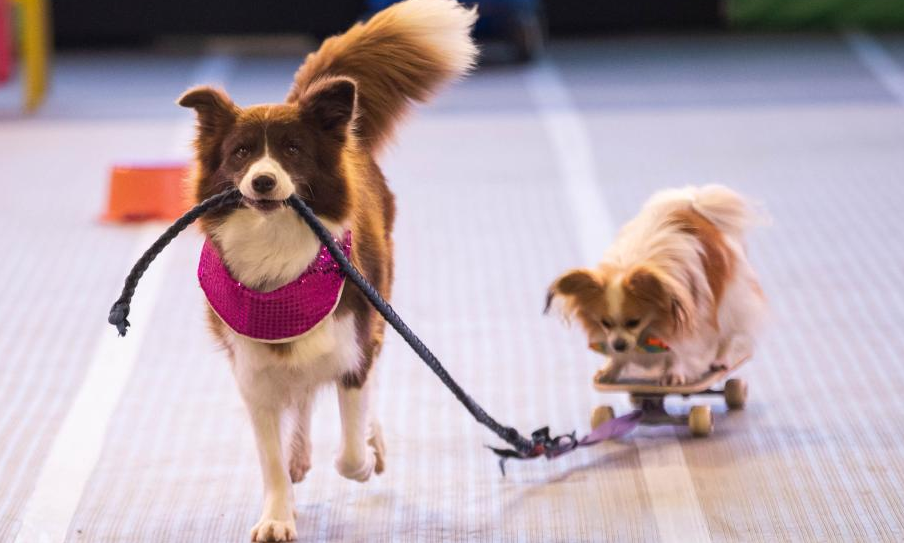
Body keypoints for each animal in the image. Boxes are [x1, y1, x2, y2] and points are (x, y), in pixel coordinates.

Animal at [173, 2, 476, 540]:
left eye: (293, 149)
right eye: (241, 152)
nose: (264, 181)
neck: (278, 255)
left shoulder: (355, 344)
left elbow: (351, 448)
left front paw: (365, 456)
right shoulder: (253, 369)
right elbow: (271, 455)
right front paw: (277, 514)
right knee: (301, 401)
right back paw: (299, 454)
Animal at [548, 186, 768, 386]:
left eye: (634, 322)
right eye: (605, 323)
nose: (618, 345)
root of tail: (694, 205)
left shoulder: (687, 322)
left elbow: (678, 351)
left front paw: (673, 373)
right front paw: (612, 368)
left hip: (730, 302)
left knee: (727, 335)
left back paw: (719, 360)